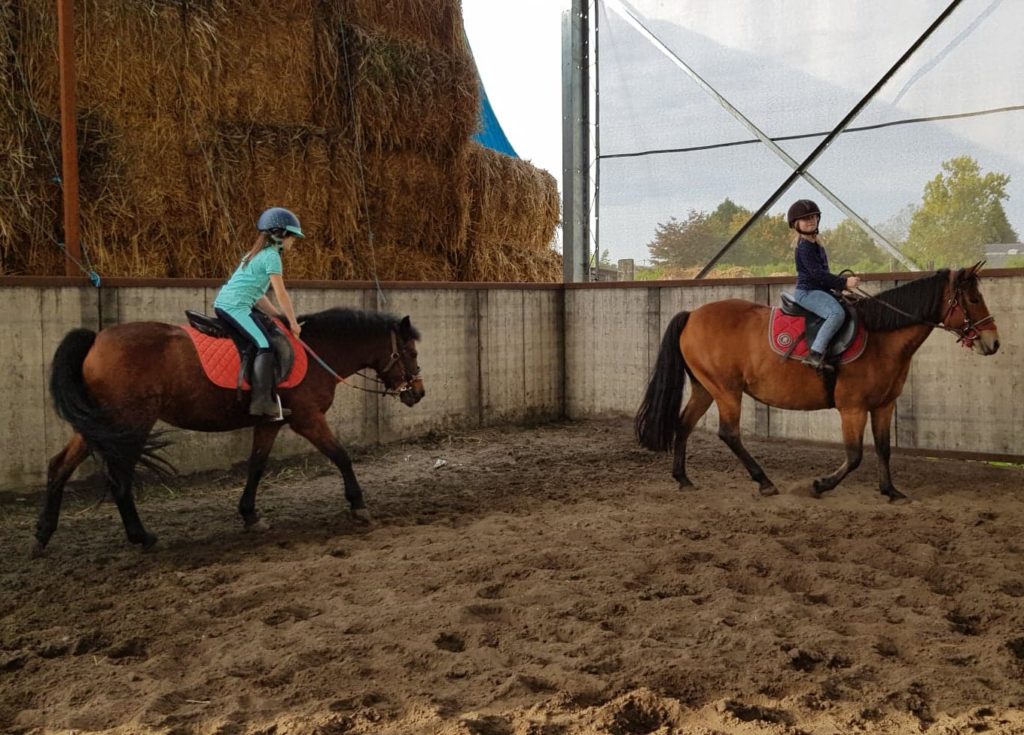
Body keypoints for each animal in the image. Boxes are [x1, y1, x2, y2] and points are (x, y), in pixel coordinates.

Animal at [37, 307, 423, 556]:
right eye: (409, 351)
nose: (417, 393)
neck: (317, 351)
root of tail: (96, 340)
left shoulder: (271, 422)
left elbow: (256, 467)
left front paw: (250, 515)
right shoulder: (308, 419)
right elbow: (342, 457)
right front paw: (358, 505)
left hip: (99, 425)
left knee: (58, 466)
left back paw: (42, 536)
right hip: (130, 423)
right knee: (119, 480)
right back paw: (142, 537)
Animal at [634, 264, 995, 501]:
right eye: (974, 300)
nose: (993, 343)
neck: (881, 337)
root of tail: (692, 315)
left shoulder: (883, 405)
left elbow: (883, 449)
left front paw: (891, 491)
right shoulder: (852, 408)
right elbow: (854, 455)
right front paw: (819, 485)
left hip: (705, 388)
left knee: (684, 424)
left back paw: (683, 479)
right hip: (726, 391)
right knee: (729, 433)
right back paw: (764, 482)